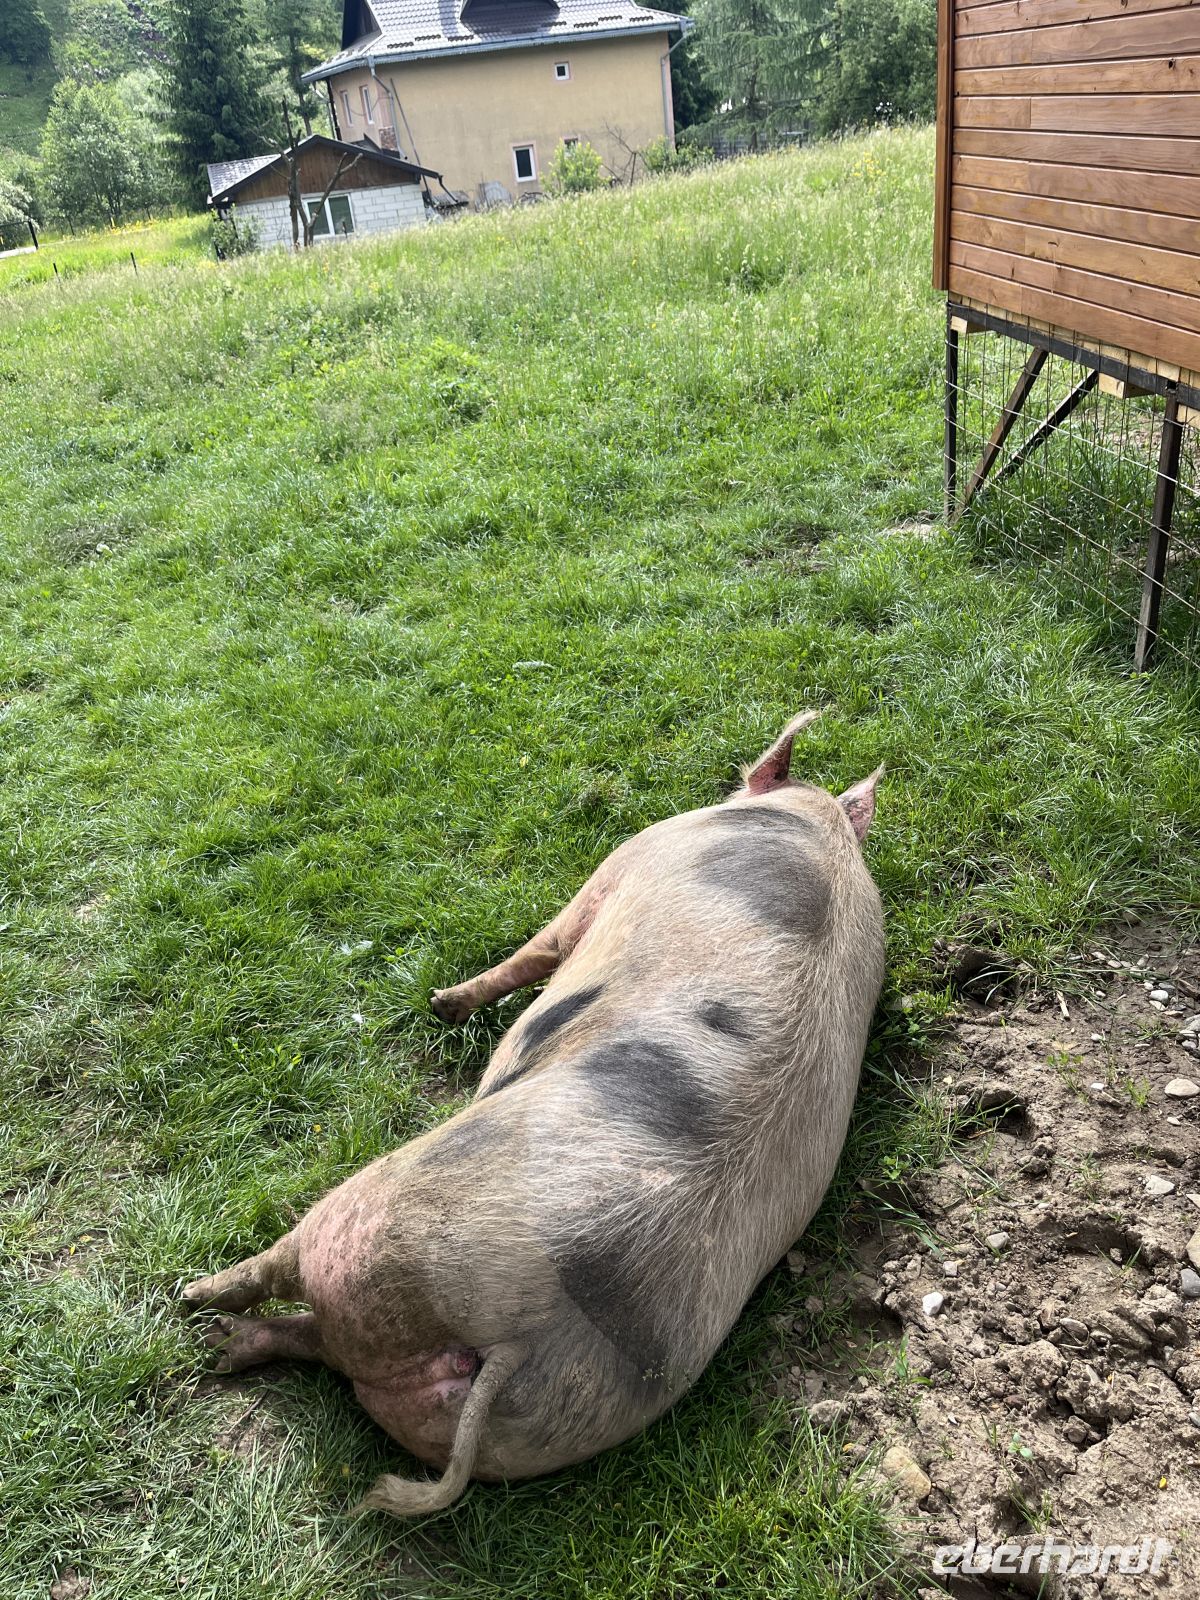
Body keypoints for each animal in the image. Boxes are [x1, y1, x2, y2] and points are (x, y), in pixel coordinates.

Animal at [181, 711, 884, 1517]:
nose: (436, 1001)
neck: (817, 822)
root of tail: (526, 1337)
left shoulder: (621, 865)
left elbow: (541, 946)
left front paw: (443, 1003)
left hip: (369, 1217)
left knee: (284, 1268)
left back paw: (196, 1306)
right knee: (318, 1343)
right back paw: (221, 1342)